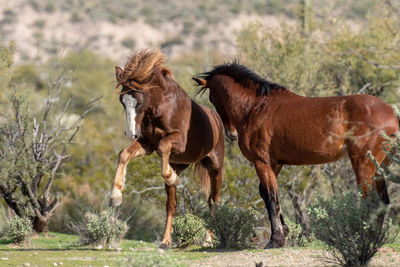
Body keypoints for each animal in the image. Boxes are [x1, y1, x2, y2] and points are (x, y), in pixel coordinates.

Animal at [109, 50, 225, 249]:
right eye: (122, 101)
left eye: (139, 102)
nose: (131, 133)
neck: (162, 106)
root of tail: (216, 119)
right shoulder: (147, 144)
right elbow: (124, 154)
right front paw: (116, 197)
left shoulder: (178, 141)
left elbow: (164, 145)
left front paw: (170, 176)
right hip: (181, 163)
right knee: (172, 205)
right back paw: (165, 241)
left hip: (215, 168)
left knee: (213, 201)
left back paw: (209, 239)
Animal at [193, 61, 396, 250]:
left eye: (213, 98)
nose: (231, 134)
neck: (257, 107)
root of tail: (392, 114)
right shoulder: (275, 163)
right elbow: (267, 194)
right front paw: (284, 231)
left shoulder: (261, 162)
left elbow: (271, 198)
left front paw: (275, 240)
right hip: (378, 168)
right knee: (383, 201)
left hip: (363, 164)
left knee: (371, 201)